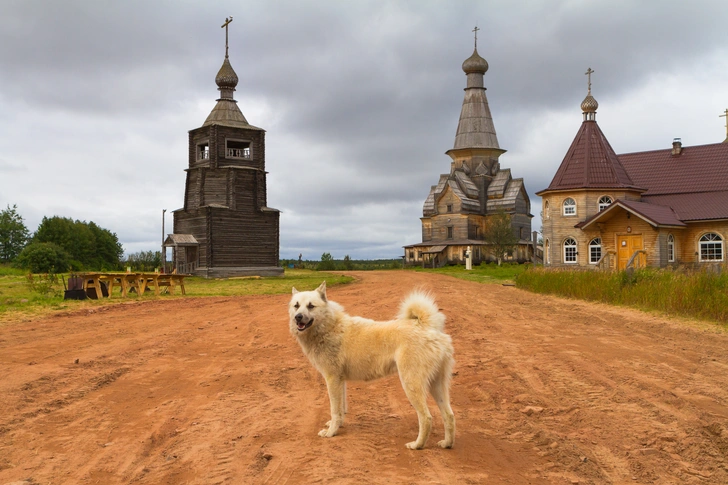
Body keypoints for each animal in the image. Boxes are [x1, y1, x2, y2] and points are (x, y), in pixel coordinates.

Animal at [288, 282, 456, 448]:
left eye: (311, 306)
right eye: (296, 306)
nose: (298, 317)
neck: (328, 326)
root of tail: (427, 326)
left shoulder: (332, 380)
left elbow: (335, 410)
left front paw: (331, 432)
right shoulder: (340, 381)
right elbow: (341, 409)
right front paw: (337, 425)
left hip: (411, 385)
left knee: (426, 418)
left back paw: (417, 445)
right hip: (437, 385)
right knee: (449, 415)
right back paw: (447, 443)